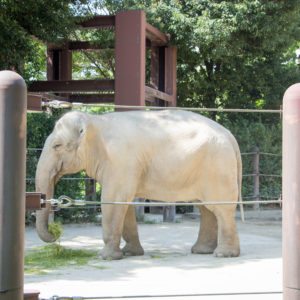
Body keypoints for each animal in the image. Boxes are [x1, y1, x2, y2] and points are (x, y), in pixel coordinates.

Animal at [35, 109, 241, 258]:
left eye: (57, 146)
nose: (56, 232)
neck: (95, 121)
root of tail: (230, 135)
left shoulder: (120, 160)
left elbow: (112, 200)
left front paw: (106, 257)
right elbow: (124, 204)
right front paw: (130, 253)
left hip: (218, 167)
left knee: (220, 208)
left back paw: (223, 254)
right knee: (206, 208)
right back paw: (202, 251)